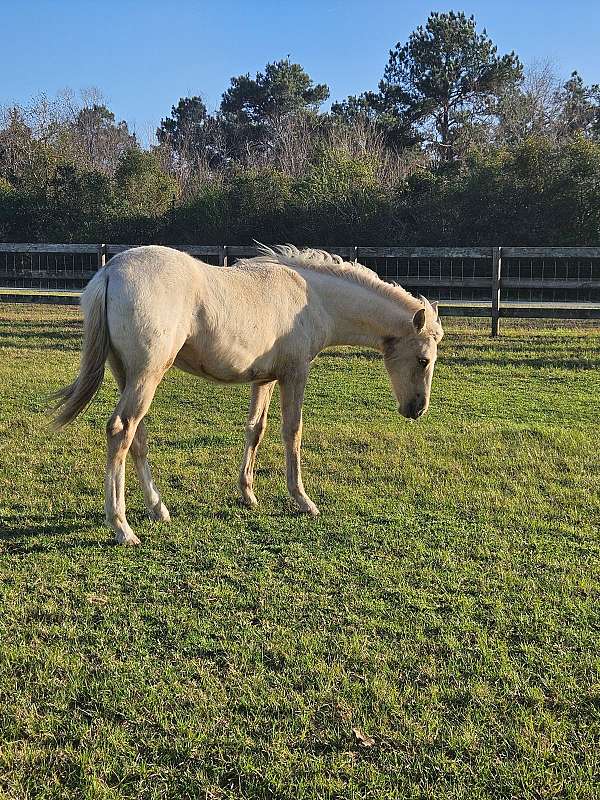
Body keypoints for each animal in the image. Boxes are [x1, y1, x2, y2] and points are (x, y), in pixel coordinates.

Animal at [51, 244, 442, 544]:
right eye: (424, 360)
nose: (417, 408)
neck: (312, 297)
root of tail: (110, 271)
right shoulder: (294, 374)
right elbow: (292, 432)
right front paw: (303, 500)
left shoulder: (265, 379)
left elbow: (256, 429)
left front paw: (248, 494)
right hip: (146, 376)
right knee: (121, 430)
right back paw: (122, 527)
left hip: (128, 375)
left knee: (137, 438)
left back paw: (158, 508)